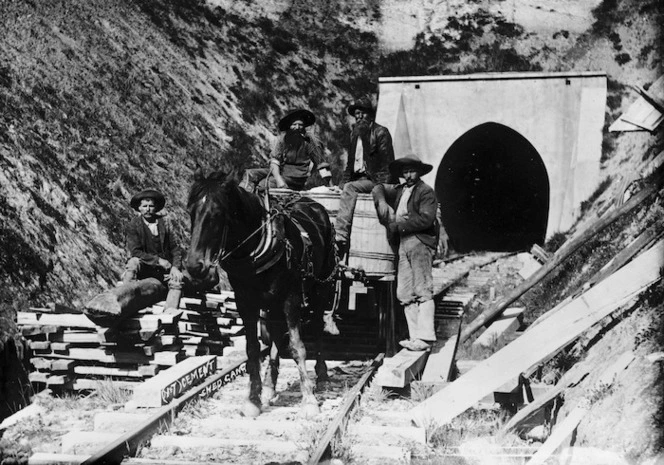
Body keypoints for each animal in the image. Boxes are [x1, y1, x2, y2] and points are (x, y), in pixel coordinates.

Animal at [185, 169, 338, 416]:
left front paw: (309, 400)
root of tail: (315, 205)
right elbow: (253, 348)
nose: (194, 266)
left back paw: (322, 376)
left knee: (316, 327)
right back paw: (269, 386)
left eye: (217, 213)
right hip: (272, 302)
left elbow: (297, 347)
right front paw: (253, 399)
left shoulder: (291, 299)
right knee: (275, 338)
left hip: (321, 288)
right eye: (191, 211)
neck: (258, 243)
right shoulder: (245, 301)